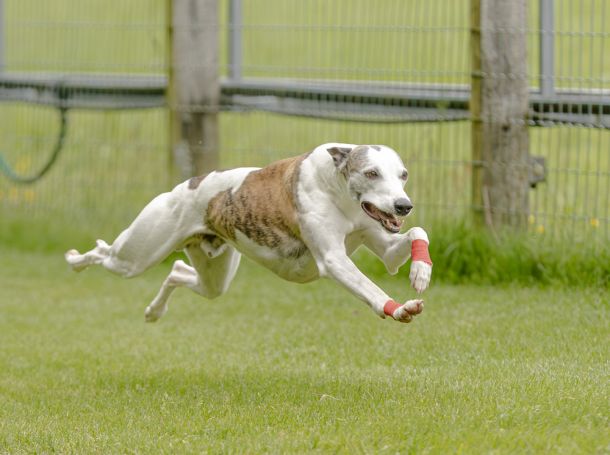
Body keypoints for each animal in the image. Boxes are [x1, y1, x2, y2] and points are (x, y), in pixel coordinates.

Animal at [64, 142, 430, 324]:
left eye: (404, 174)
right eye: (371, 173)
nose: (403, 205)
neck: (337, 189)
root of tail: (188, 184)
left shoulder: (385, 246)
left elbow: (415, 234)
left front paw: (421, 272)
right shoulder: (333, 260)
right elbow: (371, 289)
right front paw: (400, 309)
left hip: (215, 272)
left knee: (179, 270)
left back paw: (155, 312)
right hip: (135, 257)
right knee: (105, 253)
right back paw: (75, 259)